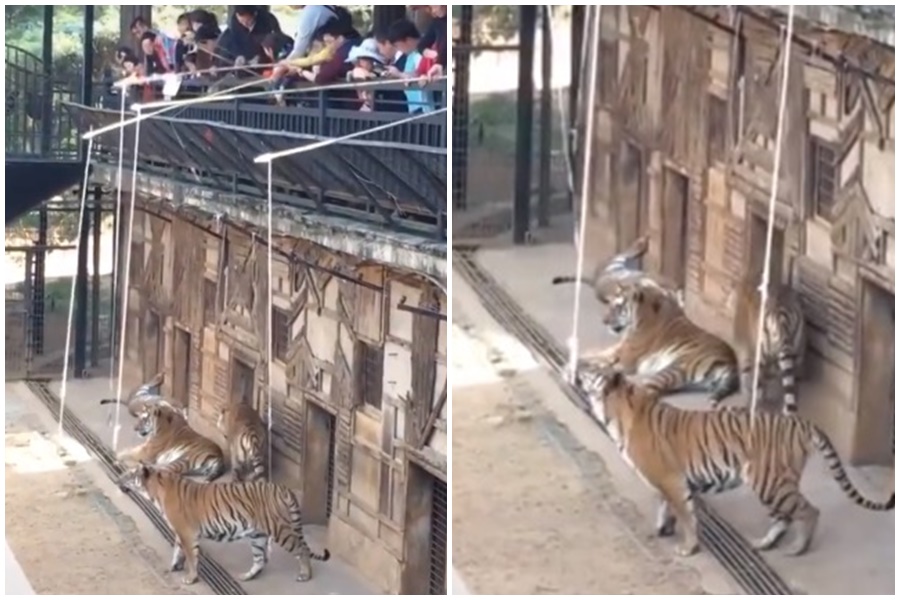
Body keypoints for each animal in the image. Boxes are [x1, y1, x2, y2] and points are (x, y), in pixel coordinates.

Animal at [117, 464, 331, 585]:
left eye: (129, 475)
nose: (119, 477)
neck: (154, 491)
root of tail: (282, 488)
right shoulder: (180, 532)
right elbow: (178, 550)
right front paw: (174, 566)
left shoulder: (186, 532)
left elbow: (191, 556)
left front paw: (190, 578)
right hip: (257, 535)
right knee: (260, 559)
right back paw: (246, 576)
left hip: (280, 530)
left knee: (302, 549)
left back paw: (305, 575)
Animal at [576, 362, 895, 558]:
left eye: (593, 369)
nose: (579, 364)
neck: (618, 411)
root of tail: (800, 421)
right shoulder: (666, 482)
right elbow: (666, 507)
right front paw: (662, 529)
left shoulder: (671, 480)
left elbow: (686, 514)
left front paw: (688, 547)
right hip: (772, 484)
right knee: (782, 518)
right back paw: (764, 543)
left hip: (770, 481)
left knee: (809, 511)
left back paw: (797, 549)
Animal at [595, 282, 740, 407]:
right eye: (609, 304)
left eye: (618, 307)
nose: (603, 321)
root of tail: (732, 363)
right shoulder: (618, 348)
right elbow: (596, 354)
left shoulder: (626, 359)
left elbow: (598, 361)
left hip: (675, 369)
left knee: (645, 391)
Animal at [731, 271, 807, 414]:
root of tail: (780, 314)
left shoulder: (745, 350)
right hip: (798, 351)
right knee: (793, 383)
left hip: (761, 353)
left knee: (759, 385)